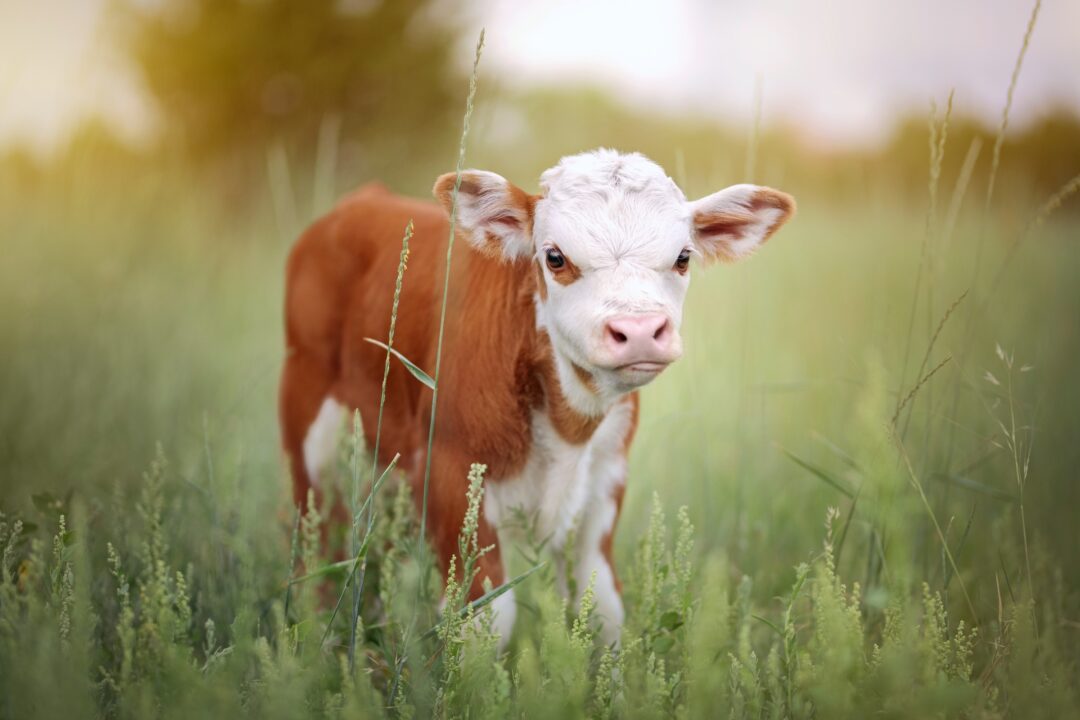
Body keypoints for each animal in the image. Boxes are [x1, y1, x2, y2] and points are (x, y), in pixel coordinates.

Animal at [279, 148, 795, 647]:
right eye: (555, 257)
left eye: (683, 257)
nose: (639, 331)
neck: (567, 425)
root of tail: (363, 200)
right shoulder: (449, 470)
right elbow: (484, 619)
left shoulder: (606, 479)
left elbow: (604, 608)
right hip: (307, 417)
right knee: (315, 542)